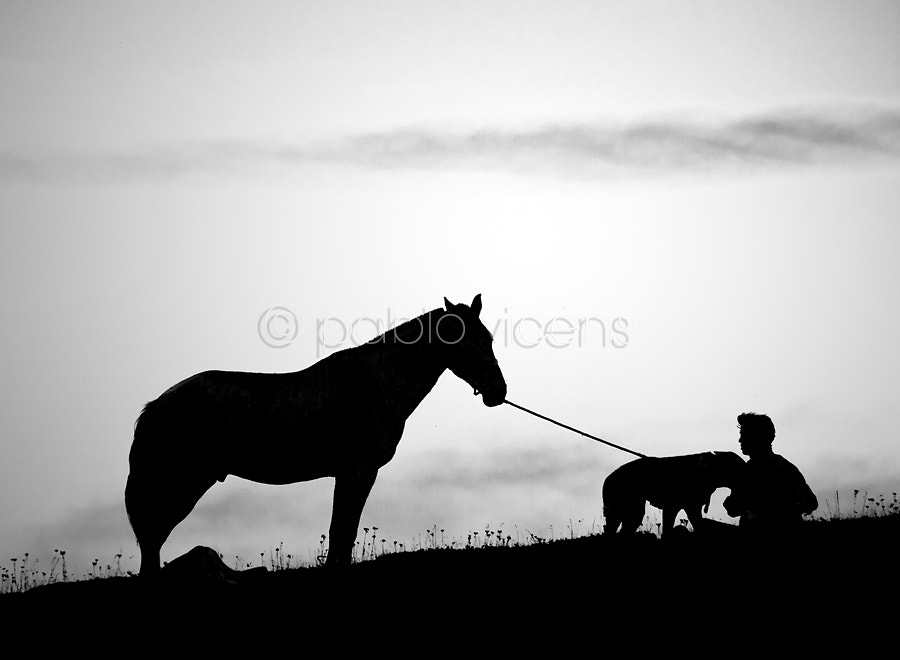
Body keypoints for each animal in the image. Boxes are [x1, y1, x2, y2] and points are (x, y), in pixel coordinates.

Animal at [125, 294, 507, 575]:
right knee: (152, 536)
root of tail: (157, 405)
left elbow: (342, 531)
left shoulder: (353, 473)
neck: (376, 383)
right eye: (469, 340)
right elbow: (343, 530)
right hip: (183, 483)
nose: (498, 391)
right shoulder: (357, 471)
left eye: (488, 338)